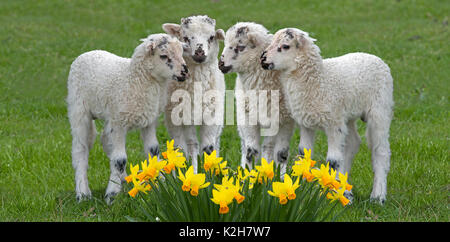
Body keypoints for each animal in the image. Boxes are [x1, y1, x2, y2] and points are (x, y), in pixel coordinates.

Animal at [66, 33, 187, 204]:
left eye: (181, 53)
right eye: (163, 56)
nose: (185, 72)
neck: (134, 79)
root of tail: (87, 53)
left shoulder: (149, 120)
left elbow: (153, 150)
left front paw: (160, 183)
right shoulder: (119, 123)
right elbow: (120, 159)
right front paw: (111, 195)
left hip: (110, 114)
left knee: (105, 140)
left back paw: (122, 178)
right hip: (79, 108)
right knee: (80, 148)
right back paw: (83, 193)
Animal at [163, 15, 227, 173]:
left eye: (211, 37)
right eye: (185, 37)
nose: (199, 52)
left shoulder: (212, 116)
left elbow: (208, 147)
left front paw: (209, 171)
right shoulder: (181, 117)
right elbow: (189, 146)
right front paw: (192, 172)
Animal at [219, 21, 296, 176]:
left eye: (240, 47)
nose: (220, 64)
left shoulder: (282, 120)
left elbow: (275, 151)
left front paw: (275, 175)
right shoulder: (248, 118)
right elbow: (251, 150)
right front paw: (249, 175)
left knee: (275, 149)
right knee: (246, 146)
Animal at [260, 27, 394, 204]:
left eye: (285, 46)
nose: (262, 59)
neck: (319, 80)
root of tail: (375, 57)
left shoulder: (333, 124)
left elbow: (333, 161)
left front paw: (328, 194)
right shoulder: (306, 123)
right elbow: (304, 155)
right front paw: (303, 189)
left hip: (380, 109)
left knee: (381, 150)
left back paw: (377, 196)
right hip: (347, 114)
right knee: (353, 143)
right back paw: (346, 188)